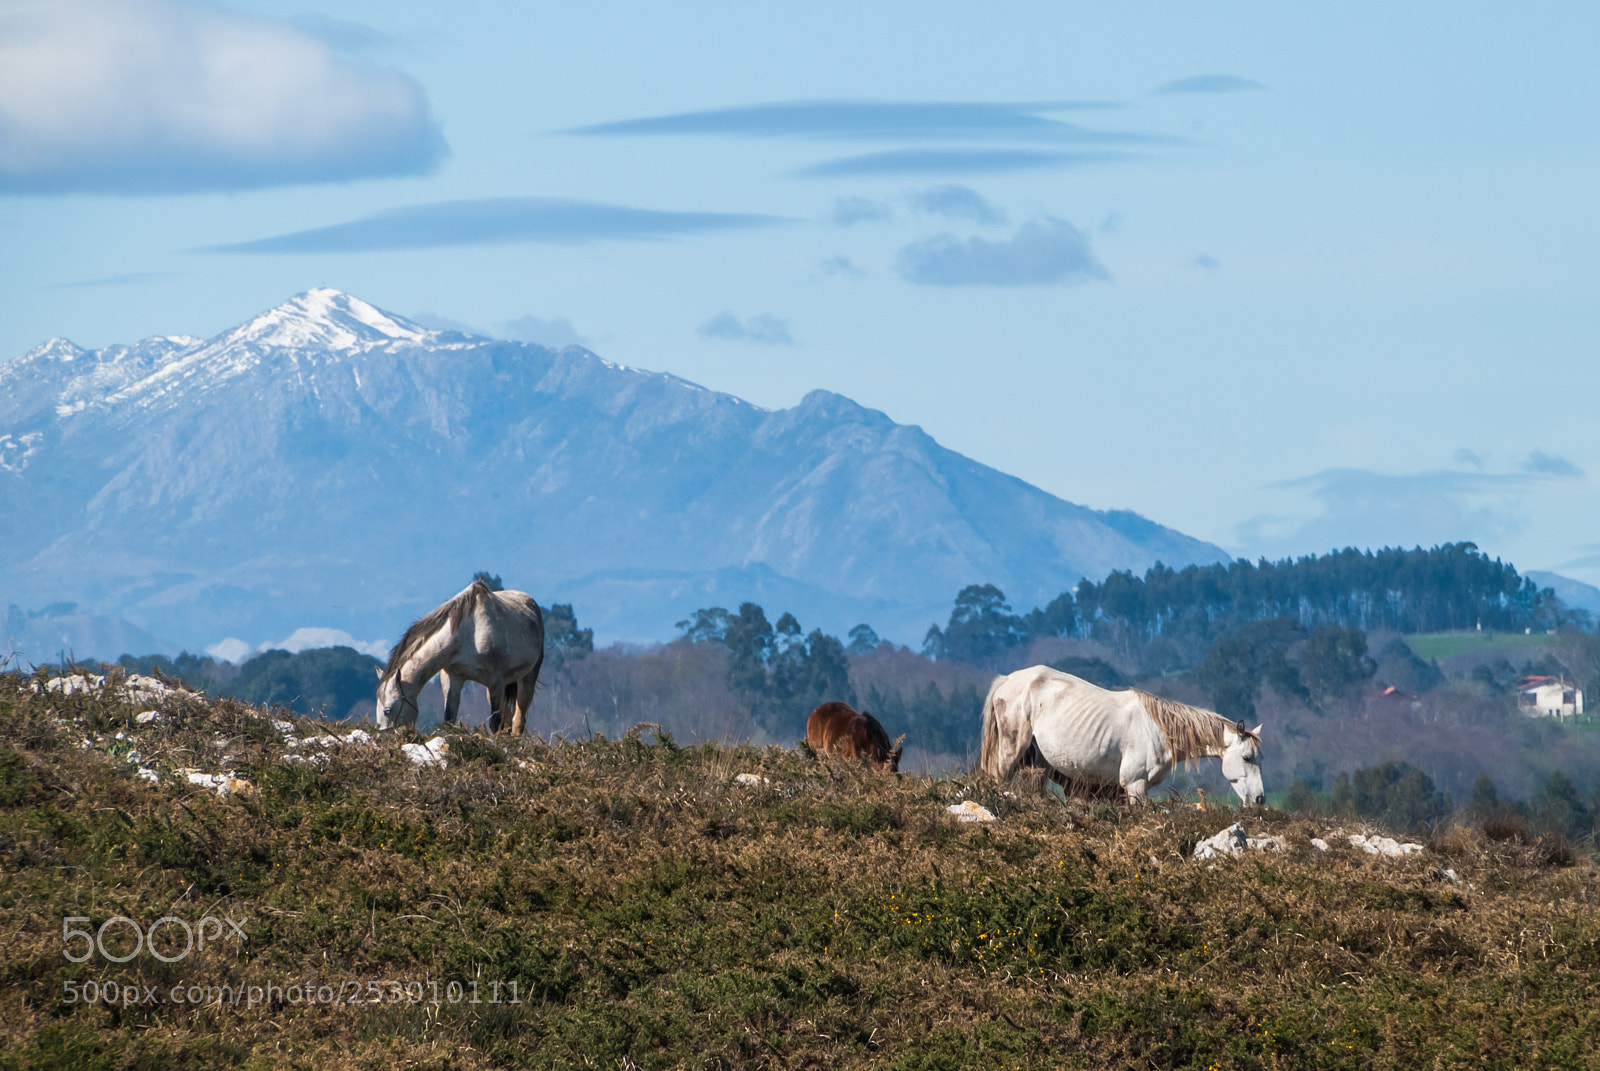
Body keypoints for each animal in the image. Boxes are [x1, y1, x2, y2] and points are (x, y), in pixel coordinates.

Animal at [376, 580, 545, 737]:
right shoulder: (453, 679)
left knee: (518, 721)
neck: (469, 634)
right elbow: (449, 720)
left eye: (387, 710)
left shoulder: (496, 683)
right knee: (508, 721)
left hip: (526, 679)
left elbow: (495, 724)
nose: (383, 737)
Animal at [979, 666, 1263, 805]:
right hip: (1011, 751)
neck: (1159, 732)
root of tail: (1006, 680)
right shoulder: (1134, 786)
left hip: (1037, 763)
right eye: (1247, 757)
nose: (1260, 799)